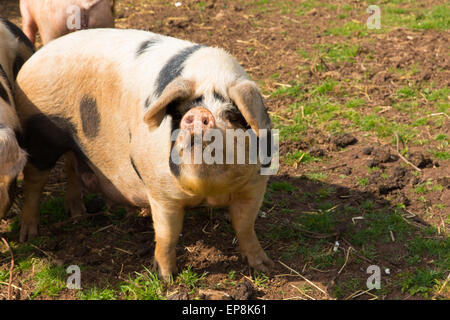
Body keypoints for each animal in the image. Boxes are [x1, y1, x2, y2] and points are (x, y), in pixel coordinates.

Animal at [14, 28, 274, 278]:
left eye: (232, 115)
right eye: (180, 113)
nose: (198, 114)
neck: (207, 189)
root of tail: (36, 56)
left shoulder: (255, 184)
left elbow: (244, 225)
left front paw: (264, 266)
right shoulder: (162, 192)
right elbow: (167, 234)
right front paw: (167, 278)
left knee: (70, 165)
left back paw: (78, 213)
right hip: (40, 134)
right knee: (34, 181)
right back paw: (29, 235)